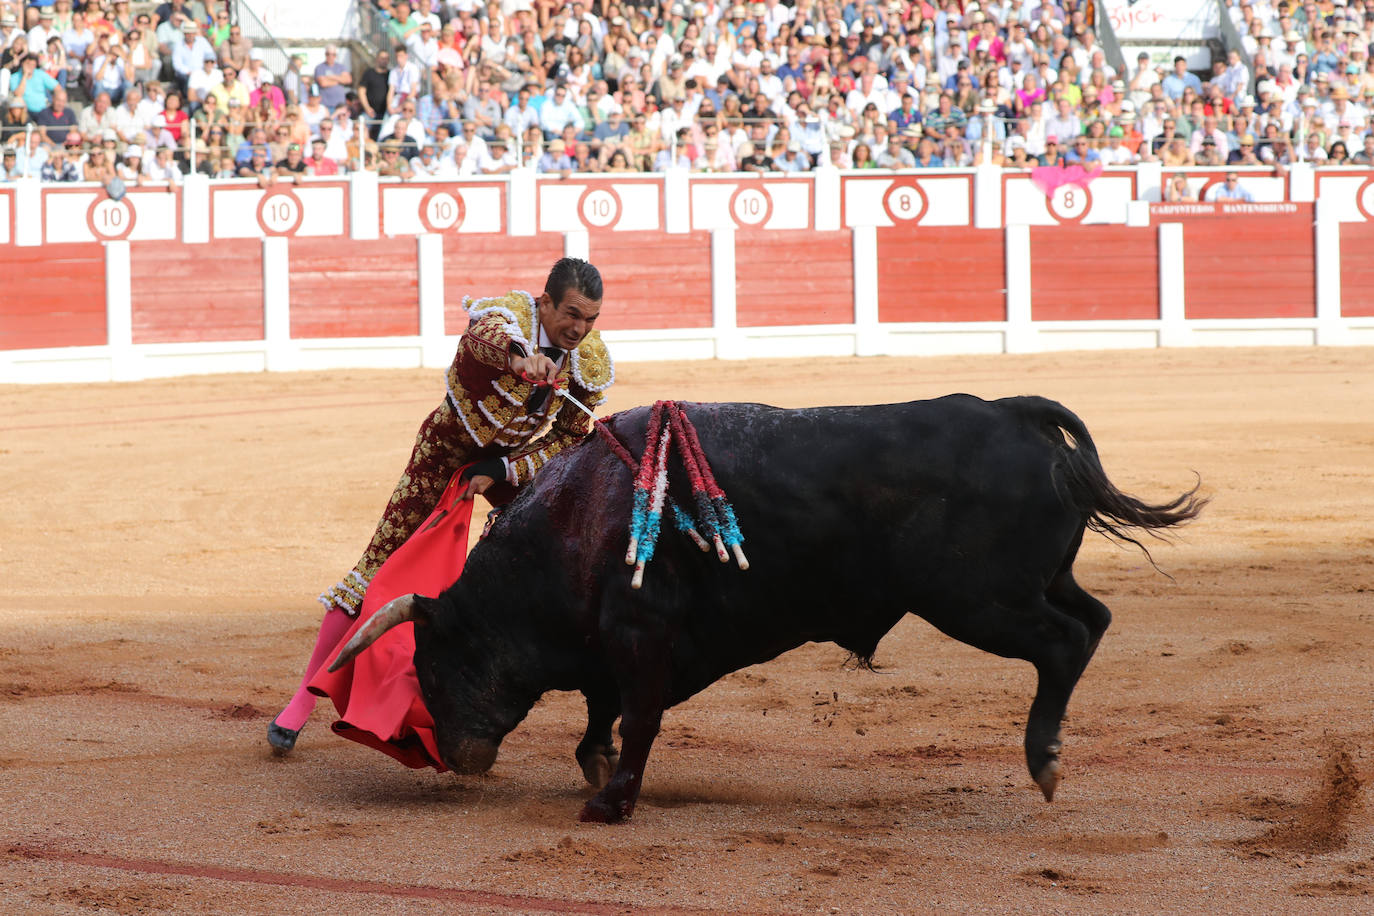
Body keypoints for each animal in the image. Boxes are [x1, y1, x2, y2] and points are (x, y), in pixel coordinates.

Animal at [329, 395, 1203, 823]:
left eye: (432, 661)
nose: (454, 755)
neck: (578, 516)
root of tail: (1013, 413)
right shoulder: (611, 645)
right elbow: (602, 713)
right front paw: (598, 770)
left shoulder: (640, 633)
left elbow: (635, 717)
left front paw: (611, 803)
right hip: (1033, 583)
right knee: (1094, 620)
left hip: (977, 601)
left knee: (1062, 642)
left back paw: (1043, 759)